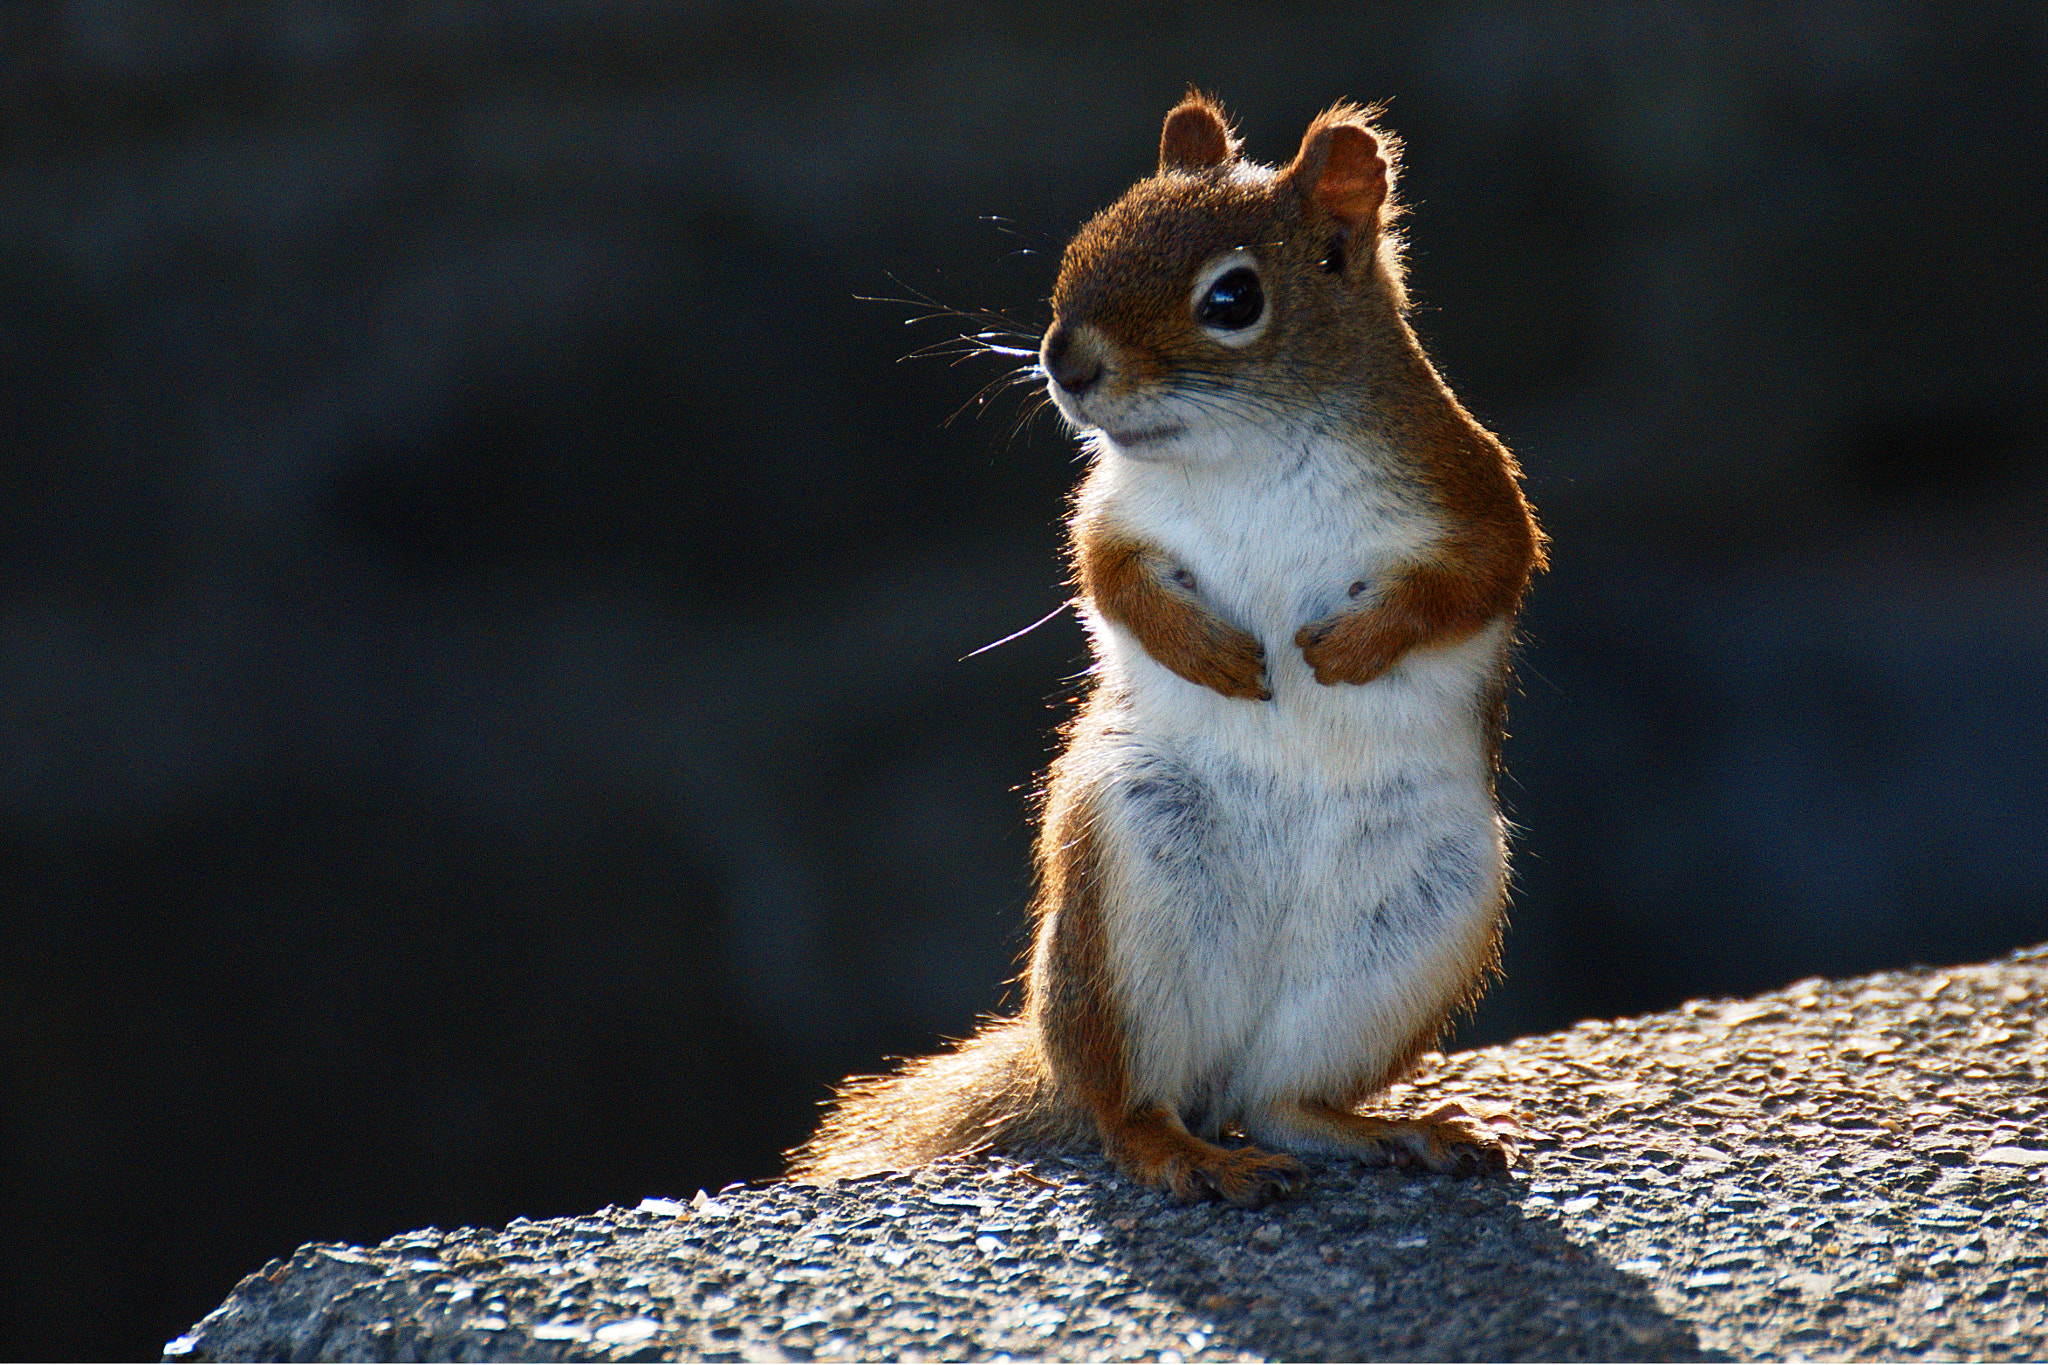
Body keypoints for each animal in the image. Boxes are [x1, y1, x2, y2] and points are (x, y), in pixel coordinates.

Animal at [790, 98, 1540, 1203]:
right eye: (1081, 246)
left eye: (1233, 297)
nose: (1066, 362)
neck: (1248, 451)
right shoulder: (1111, 514)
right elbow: (1110, 580)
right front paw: (1210, 654)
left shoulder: (1470, 492)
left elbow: (1476, 580)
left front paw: (1350, 650)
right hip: (1123, 904)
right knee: (1129, 1106)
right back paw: (1185, 1152)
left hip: (1415, 927)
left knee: (1280, 1098)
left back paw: (1382, 1129)